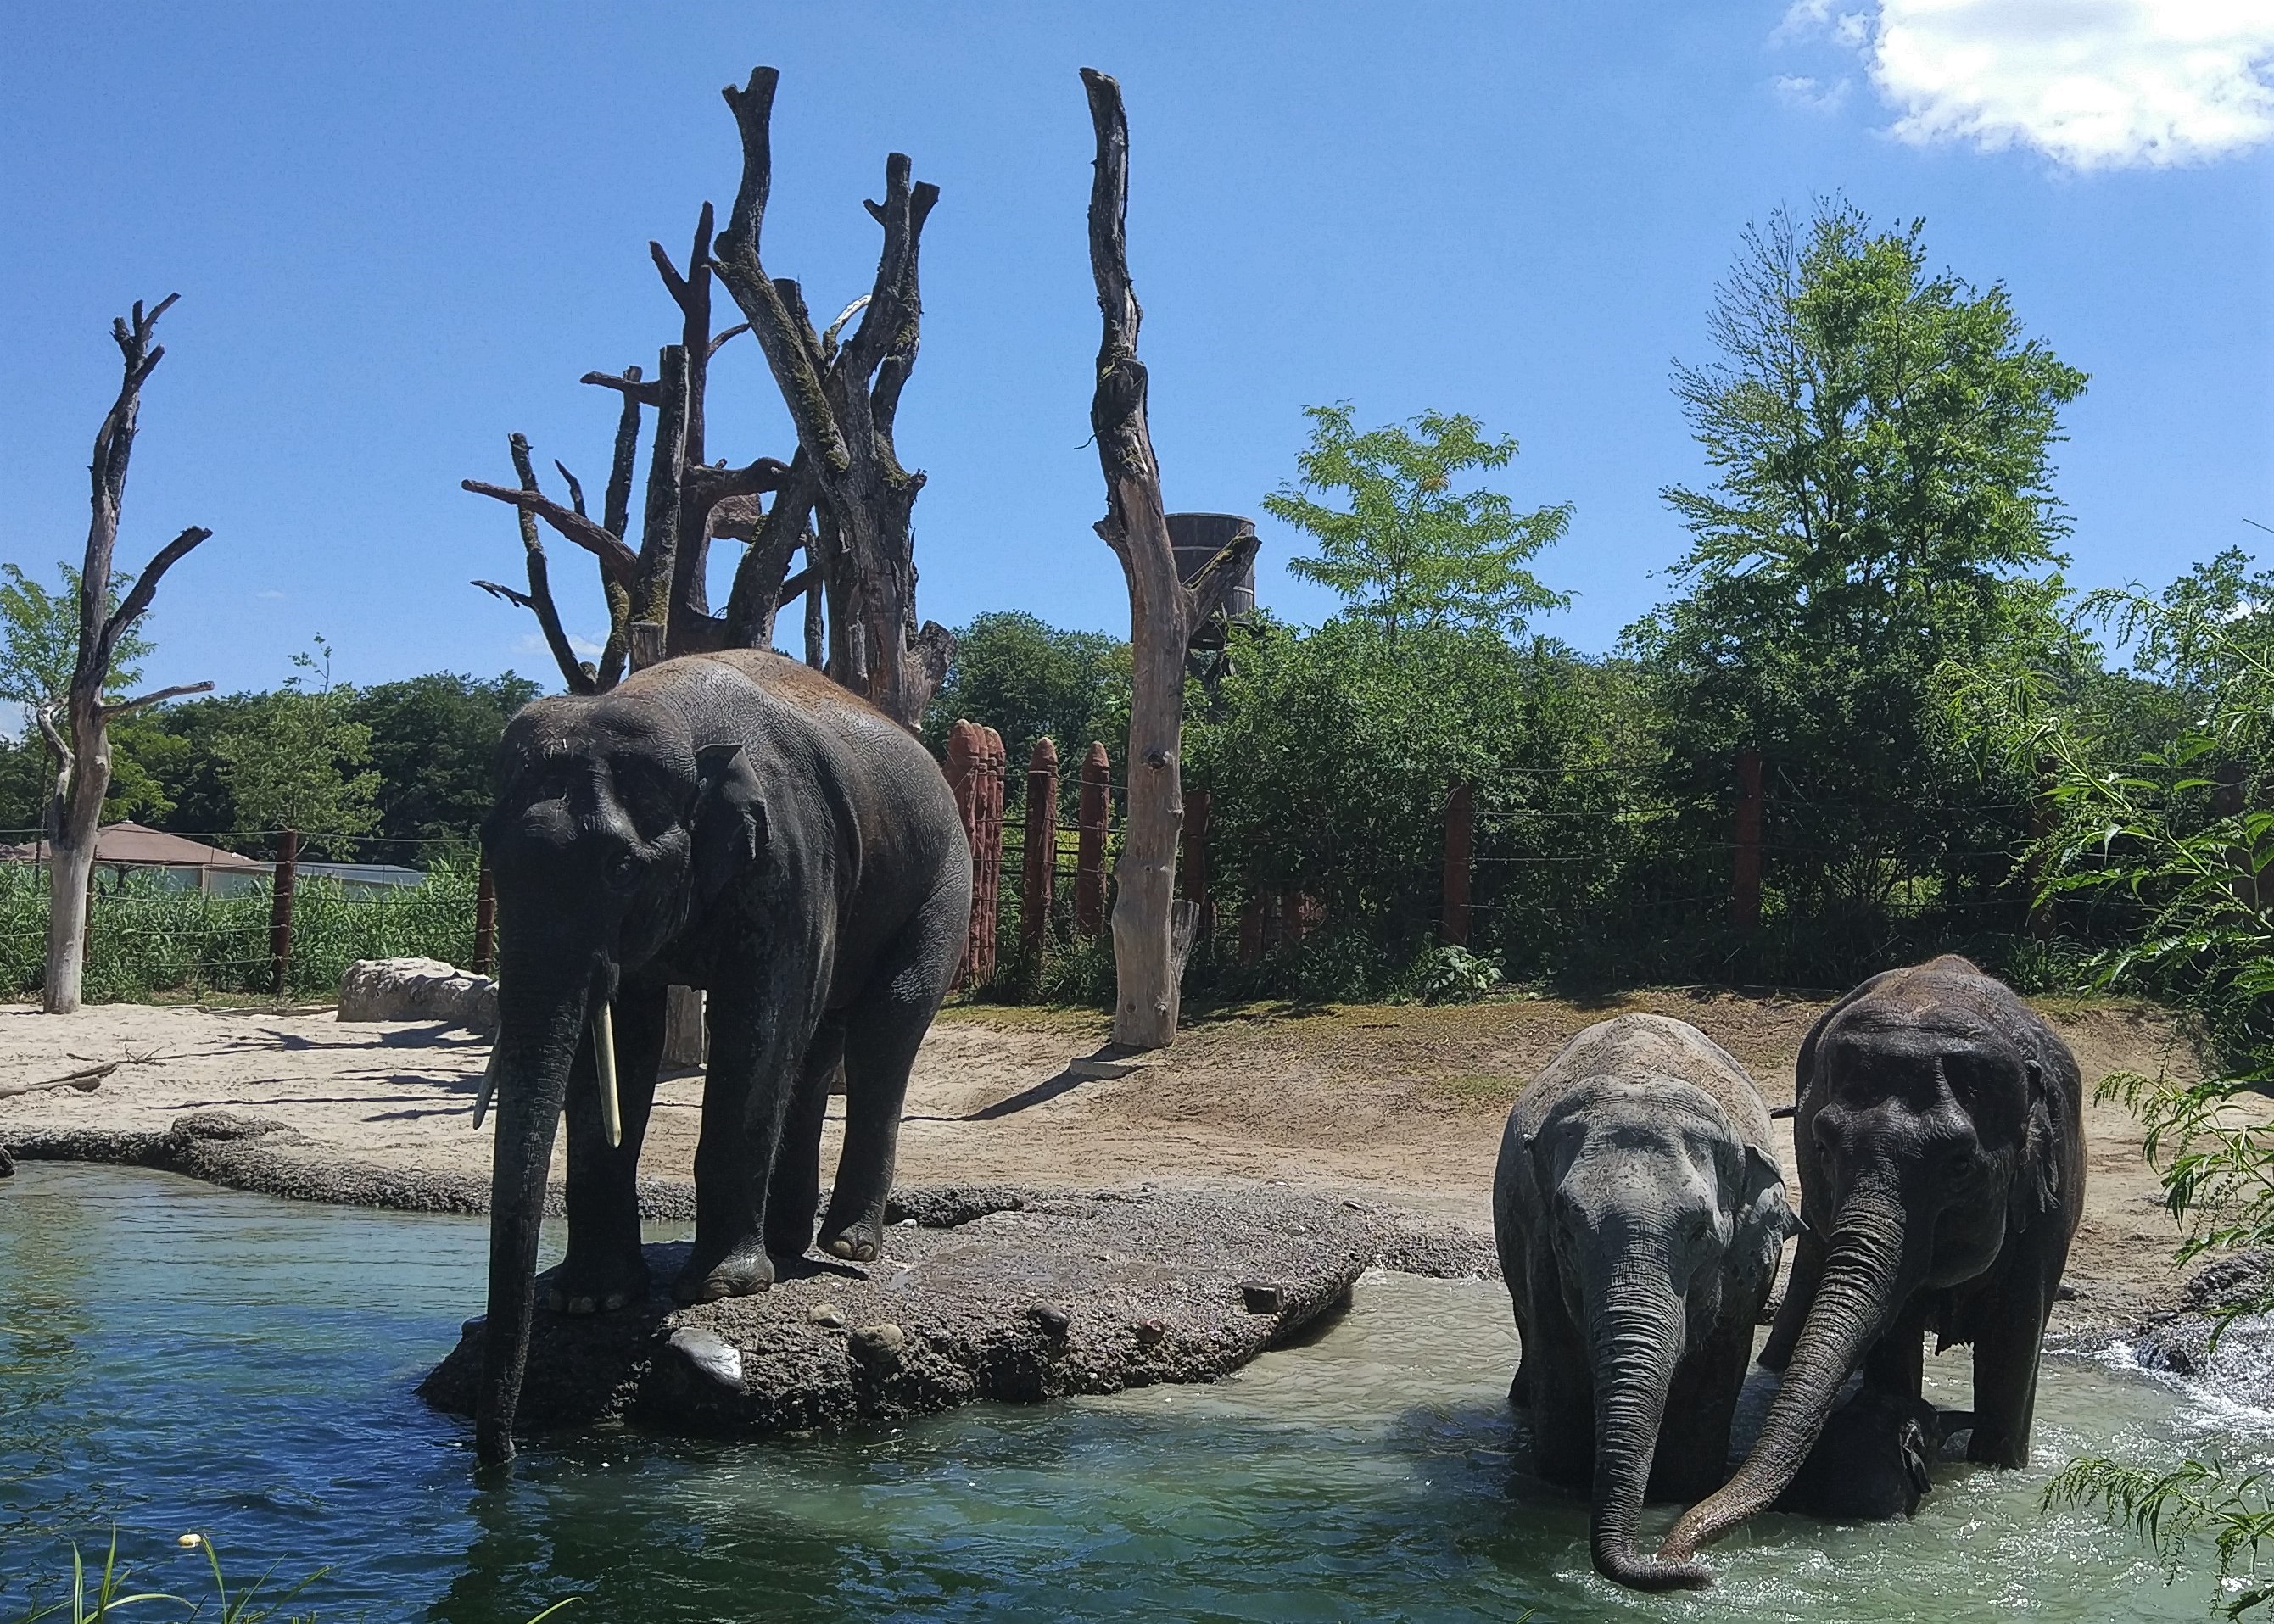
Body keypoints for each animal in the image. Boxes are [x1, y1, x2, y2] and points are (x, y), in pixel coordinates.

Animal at [473, 649, 970, 1467]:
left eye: (619, 868)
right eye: (490, 852)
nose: (499, 1458)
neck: (664, 708)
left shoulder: (791, 856)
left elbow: (758, 1020)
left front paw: (721, 1291)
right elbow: (620, 1036)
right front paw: (587, 1299)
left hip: (940, 886)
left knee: (881, 1032)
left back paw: (847, 1245)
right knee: (818, 1047)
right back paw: (788, 1241)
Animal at [1493, 1012, 1793, 1590]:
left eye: (1701, 1231)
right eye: (1567, 1228)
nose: (1698, 1574)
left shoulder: (1742, 1278)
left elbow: (1711, 1386)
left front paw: (1677, 1492)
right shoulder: (1541, 1253)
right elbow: (1560, 1379)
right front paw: (1561, 1492)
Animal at [1658, 955, 2084, 1569]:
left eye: (1960, 1164)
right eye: (1822, 1145)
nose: (1675, 1553)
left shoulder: (2047, 1216)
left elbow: (2013, 1340)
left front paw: (1997, 1465)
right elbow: (1894, 1332)